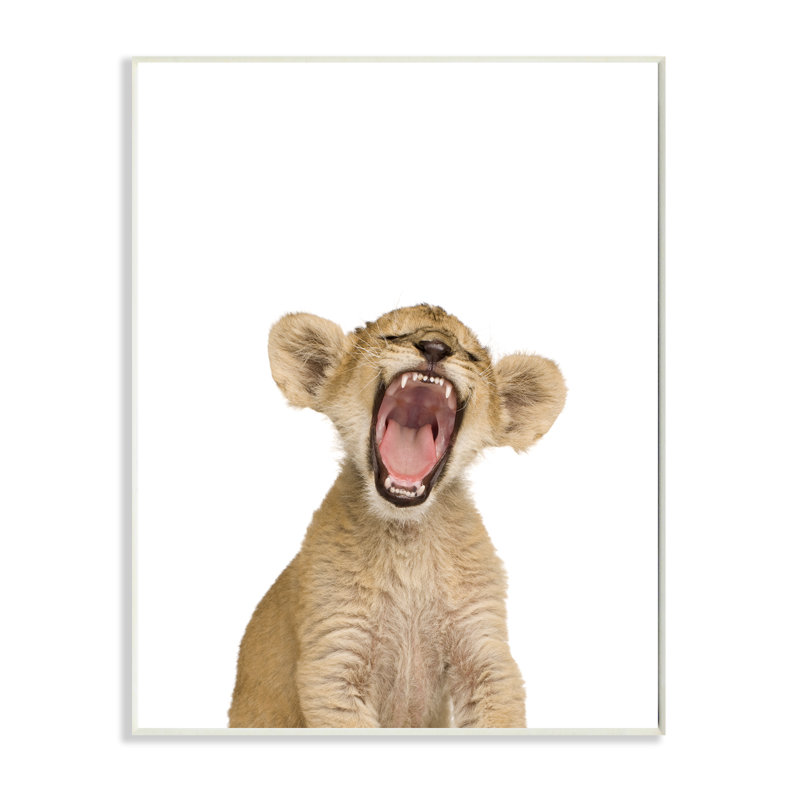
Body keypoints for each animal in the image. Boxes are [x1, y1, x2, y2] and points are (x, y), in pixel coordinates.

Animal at [228, 304, 566, 728]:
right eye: (392, 336)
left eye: (470, 355)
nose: (435, 347)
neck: (408, 538)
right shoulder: (334, 662)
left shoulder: (484, 654)